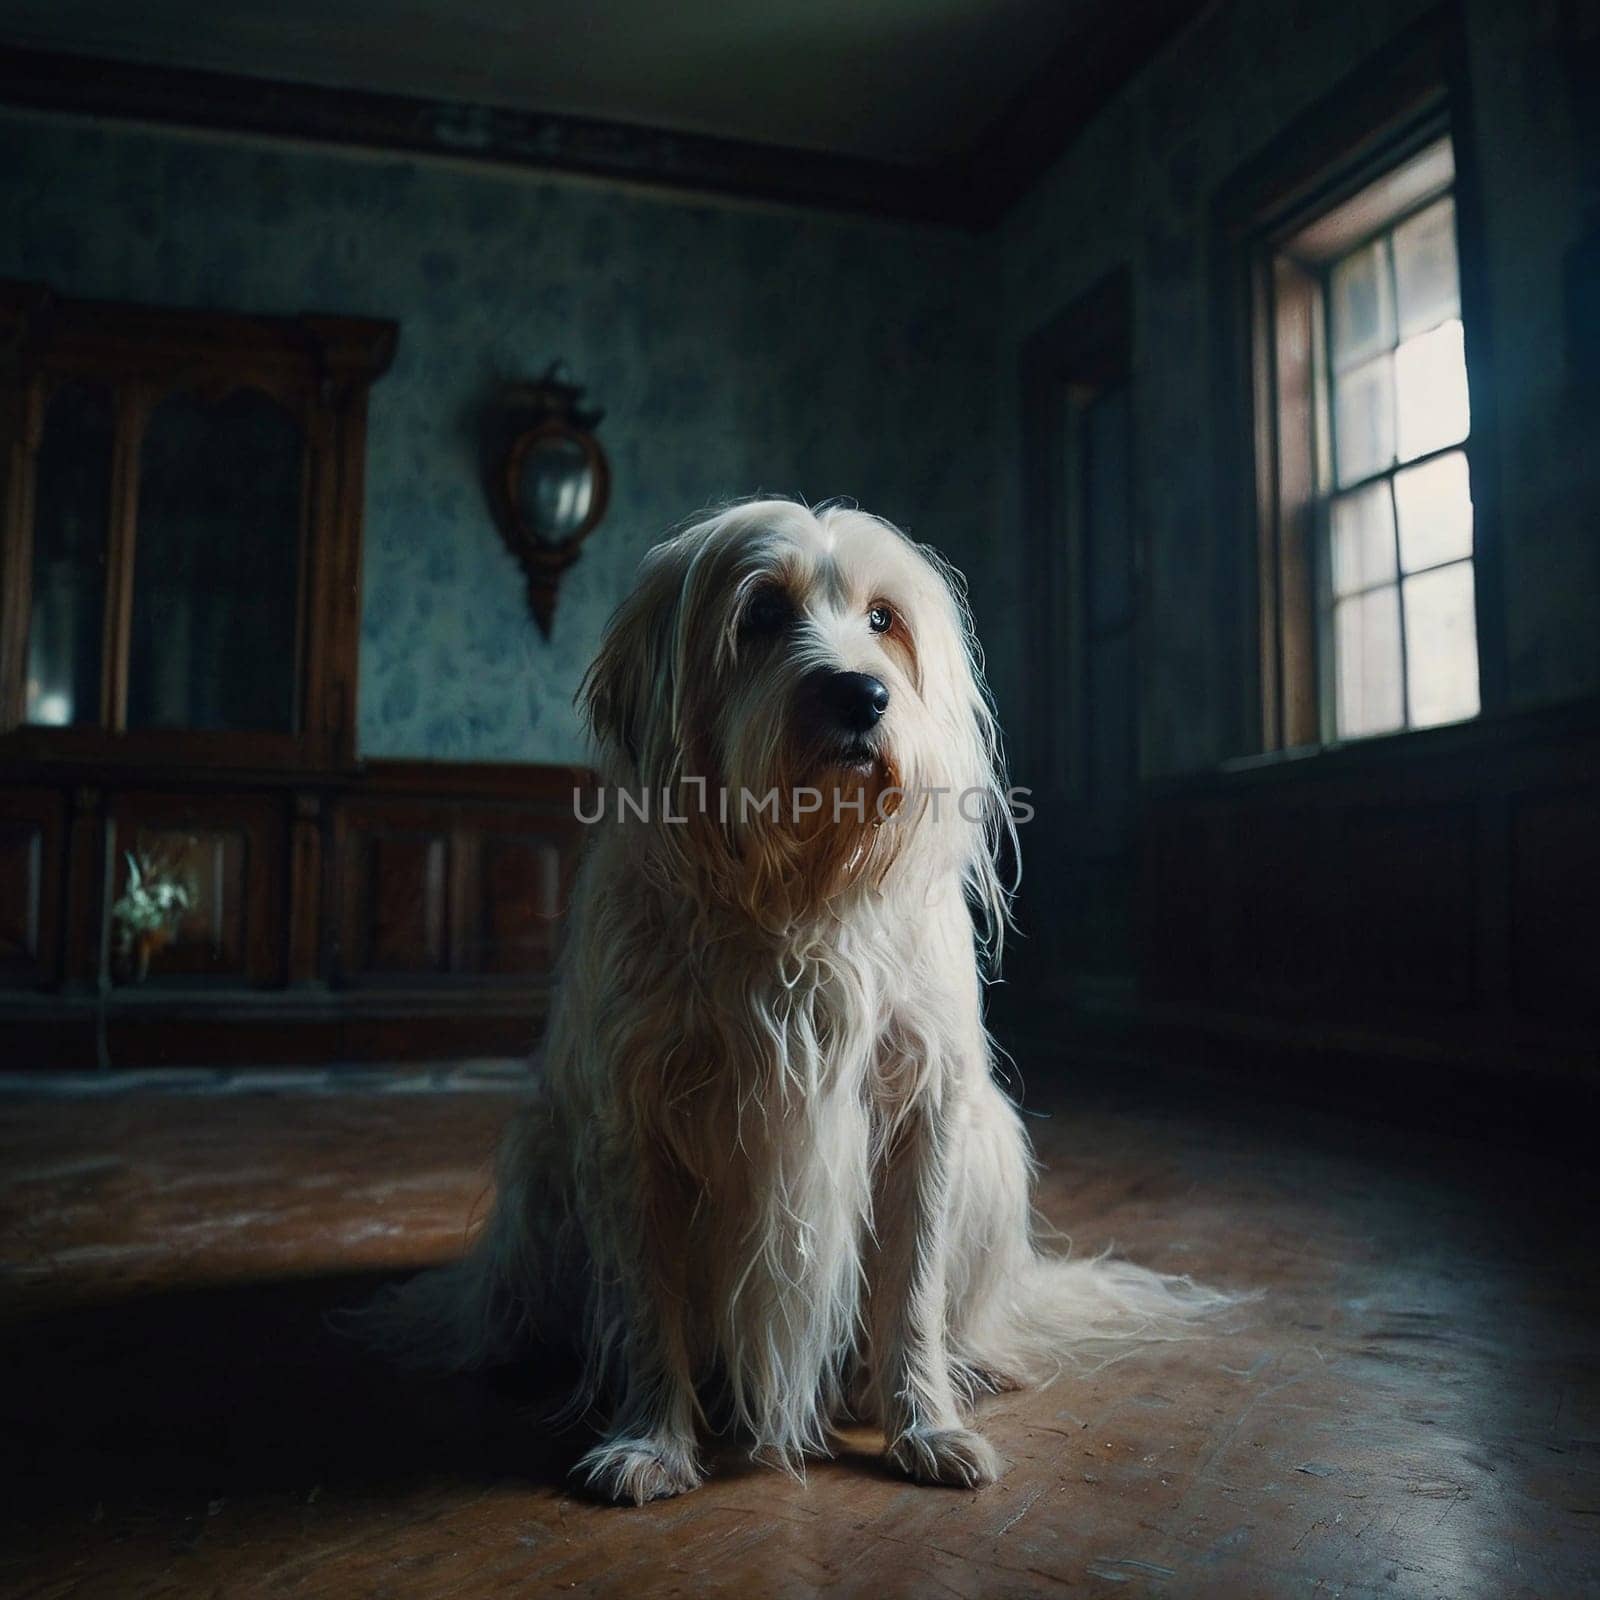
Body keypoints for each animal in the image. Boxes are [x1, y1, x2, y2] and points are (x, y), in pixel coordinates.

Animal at [377, 496, 1235, 1497]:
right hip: (544, 1169)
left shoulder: (924, 1108)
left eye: (884, 619)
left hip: (990, 1150)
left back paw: (968, 1365)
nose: (862, 696)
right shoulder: (632, 1119)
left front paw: (924, 1422)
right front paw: (650, 1438)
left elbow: (911, 1290)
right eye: (759, 614)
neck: (798, 891)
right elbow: (648, 1303)